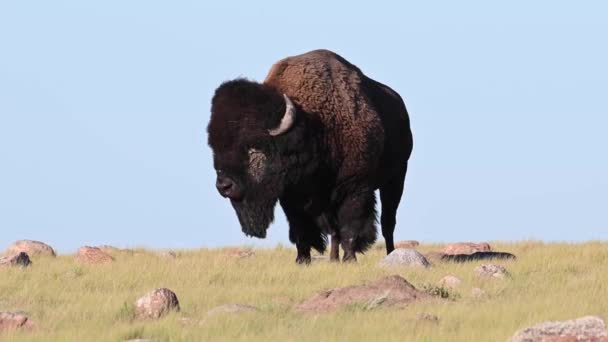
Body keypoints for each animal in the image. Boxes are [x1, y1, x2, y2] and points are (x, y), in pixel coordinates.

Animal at [208, 49, 414, 264]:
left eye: (255, 148)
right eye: (215, 148)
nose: (224, 186)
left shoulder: (355, 187)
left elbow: (350, 226)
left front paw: (350, 259)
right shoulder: (293, 198)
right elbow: (302, 230)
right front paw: (302, 260)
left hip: (397, 176)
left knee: (388, 222)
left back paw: (390, 253)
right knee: (335, 231)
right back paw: (333, 259)